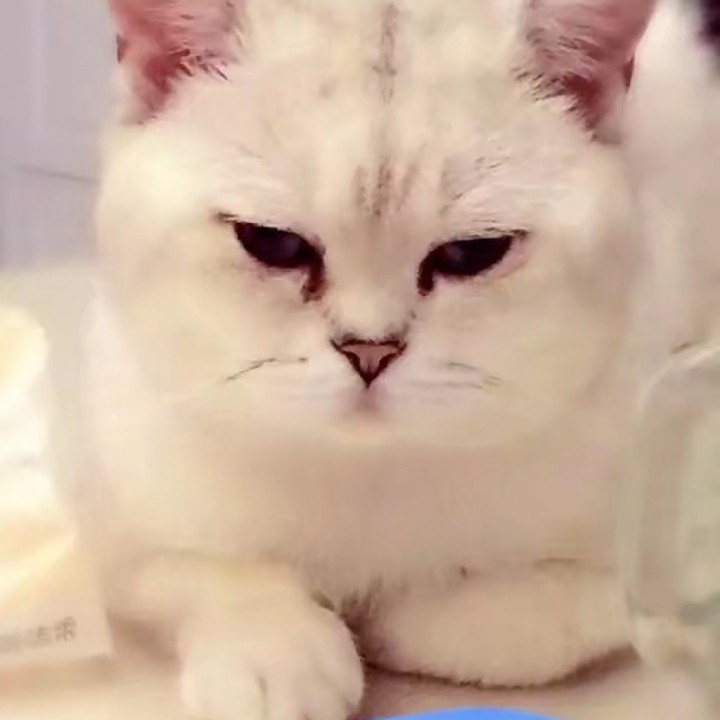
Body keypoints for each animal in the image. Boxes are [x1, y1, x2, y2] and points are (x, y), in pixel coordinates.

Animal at [77, 1, 720, 719]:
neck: (366, 474)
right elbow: (210, 575)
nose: (369, 349)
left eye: (472, 255)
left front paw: (388, 617)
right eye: (272, 243)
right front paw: (278, 653)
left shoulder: (656, 549)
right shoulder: (118, 512)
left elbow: (516, 624)